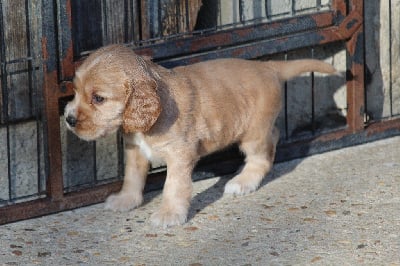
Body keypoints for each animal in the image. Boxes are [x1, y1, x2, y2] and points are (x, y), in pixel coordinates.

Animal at [64, 44, 336, 227]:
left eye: (98, 98)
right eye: (75, 92)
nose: (68, 119)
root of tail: (268, 66)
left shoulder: (179, 155)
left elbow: (173, 186)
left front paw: (169, 214)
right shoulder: (135, 151)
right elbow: (132, 177)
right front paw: (126, 200)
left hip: (253, 133)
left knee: (263, 157)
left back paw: (243, 182)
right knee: (275, 135)